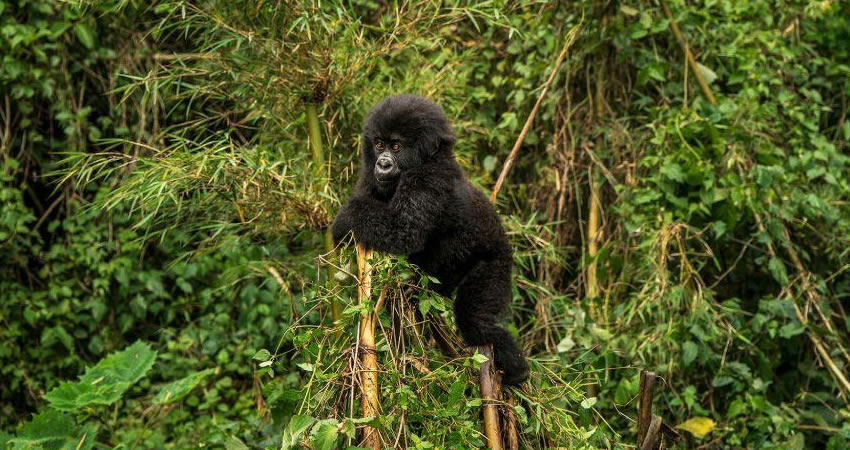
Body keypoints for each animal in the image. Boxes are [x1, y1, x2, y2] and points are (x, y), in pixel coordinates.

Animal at [332, 94, 528, 384]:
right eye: (379, 145)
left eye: (396, 146)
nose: (383, 163)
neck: (429, 159)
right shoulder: (372, 177)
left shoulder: (428, 179)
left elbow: (402, 232)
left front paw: (344, 220)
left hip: (497, 265)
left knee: (475, 321)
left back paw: (516, 368)